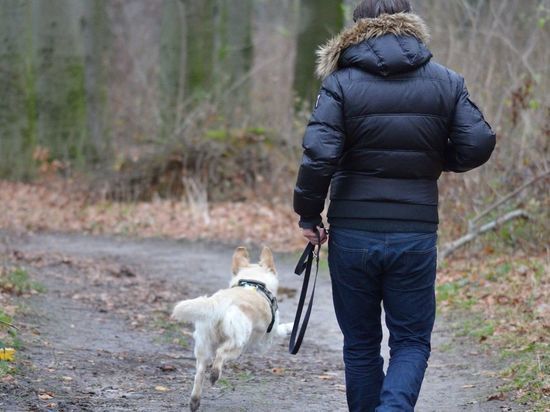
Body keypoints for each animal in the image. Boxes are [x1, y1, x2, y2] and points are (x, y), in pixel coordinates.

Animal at [172, 246, 294, 410]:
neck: (253, 282)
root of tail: (218, 303)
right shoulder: (265, 340)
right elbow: (281, 329)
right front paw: (291, 326)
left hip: (203, 347)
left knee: (200, 373)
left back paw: (195, 401)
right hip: (238, 345)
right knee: (220, 354)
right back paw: (215, 374)